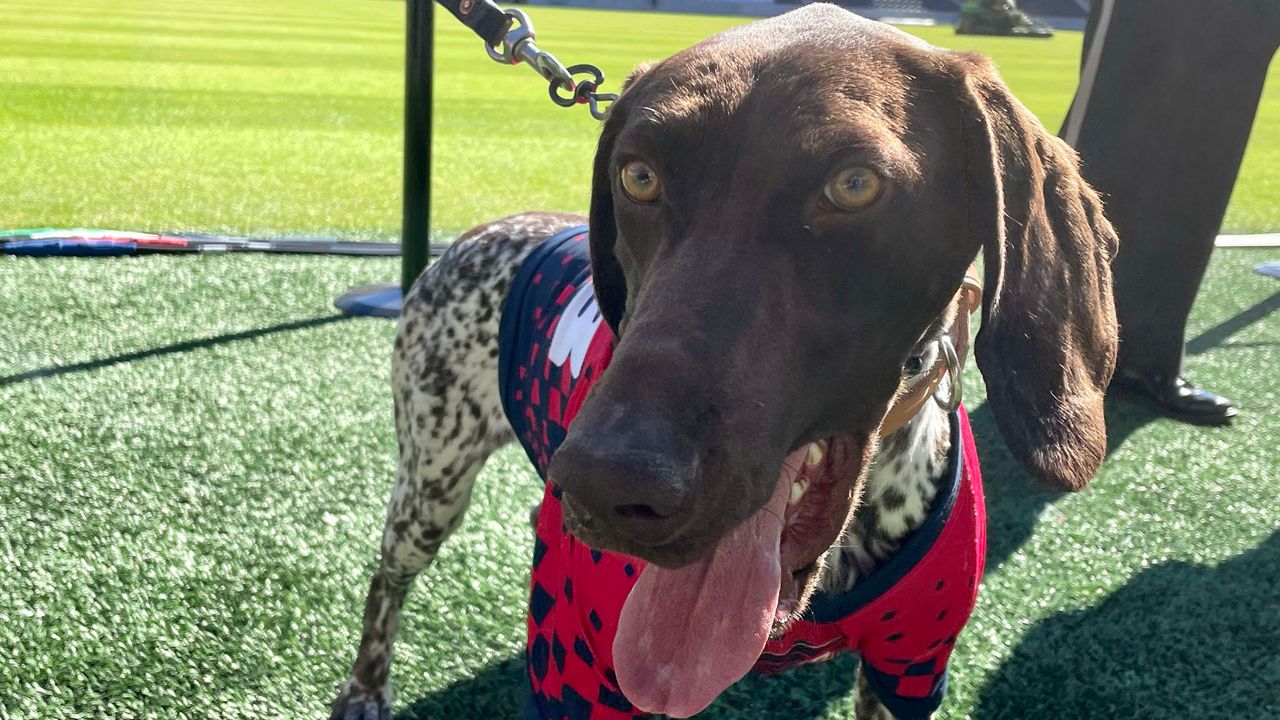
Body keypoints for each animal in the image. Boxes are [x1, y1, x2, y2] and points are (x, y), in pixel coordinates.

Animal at [332, 7, 1121, 717]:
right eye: (638, 176)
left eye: (855, 184)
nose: (605, 485)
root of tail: (476, 234)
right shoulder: (578, 667)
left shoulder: (910, 666)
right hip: (430, 489)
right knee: (384, 582)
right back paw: (366, 687)